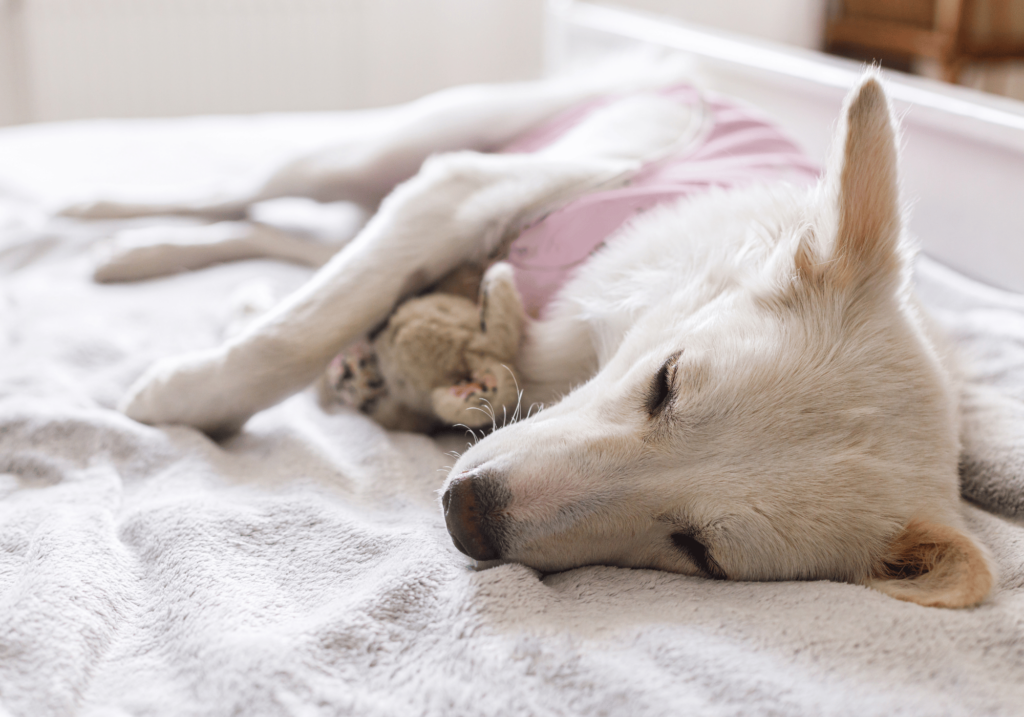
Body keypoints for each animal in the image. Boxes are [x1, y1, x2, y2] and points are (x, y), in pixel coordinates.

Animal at [64, 66, 991, 606]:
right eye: (666, 382)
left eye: (700, 550)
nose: (468, 519)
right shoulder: (458, 192)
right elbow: (298, 330)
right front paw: (185, 398)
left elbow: (328, 303)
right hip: (392, 151)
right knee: (243, 193)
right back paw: (110, 225)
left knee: (293, 241)